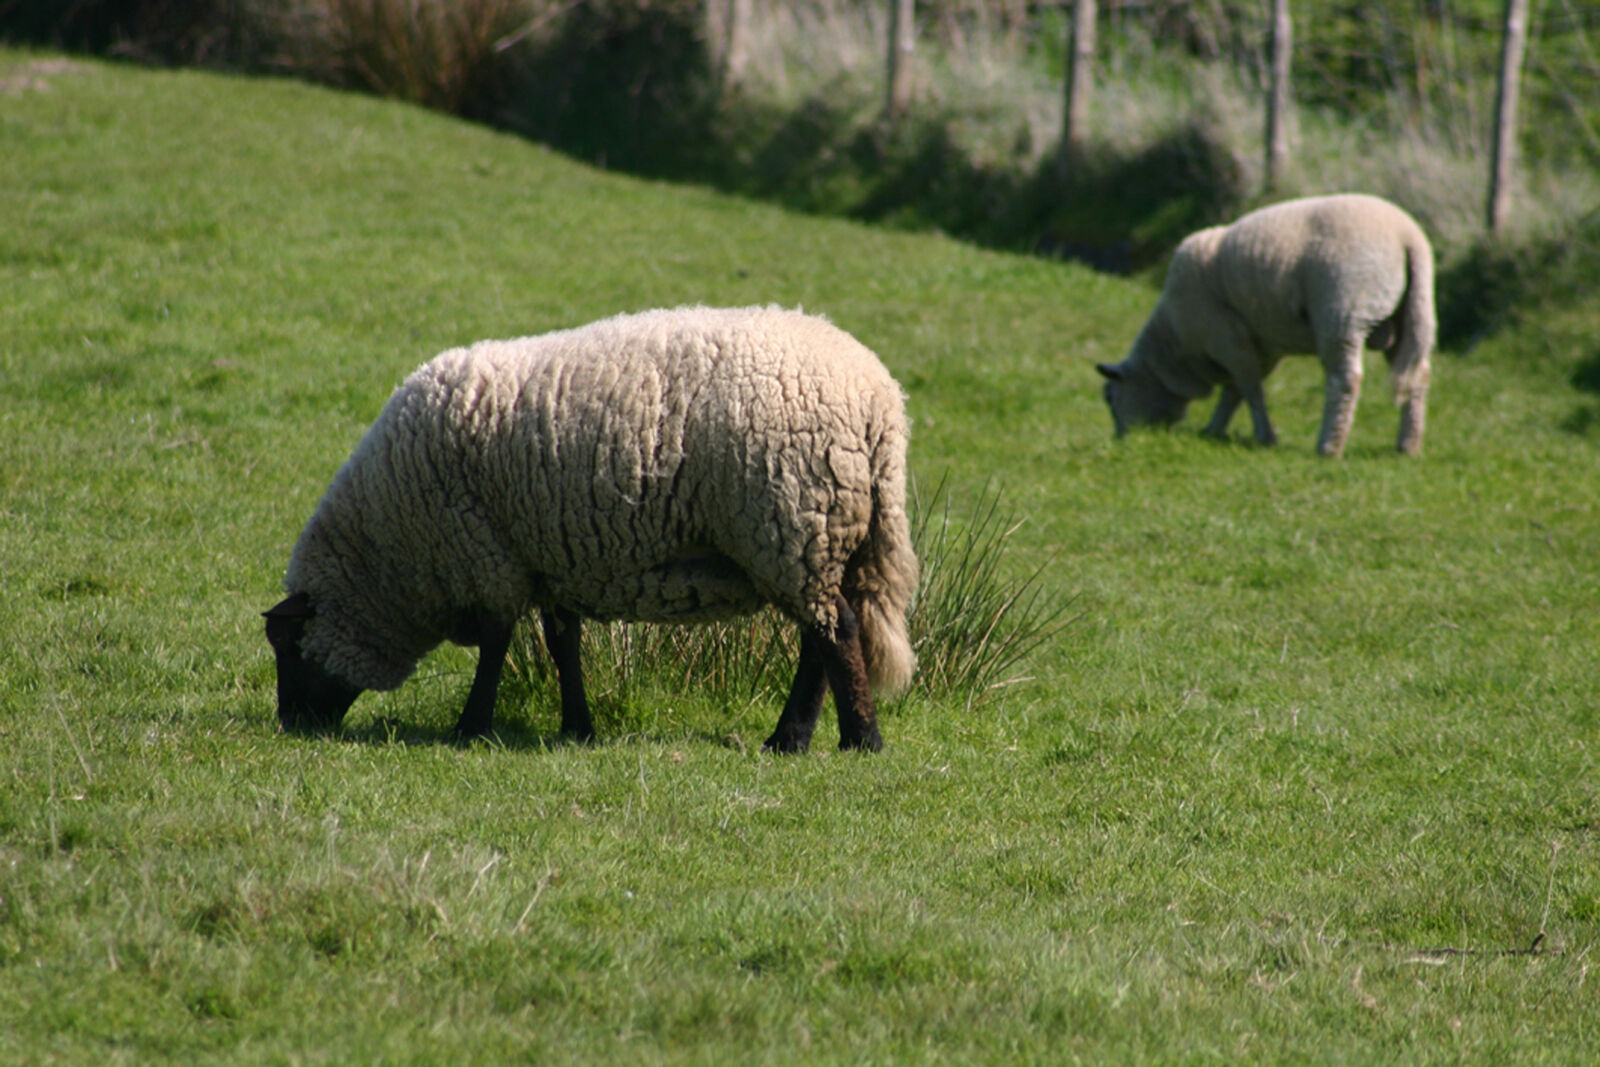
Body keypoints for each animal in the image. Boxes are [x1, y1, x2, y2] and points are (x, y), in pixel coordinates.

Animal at [263, 306, 919, 753]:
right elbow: (562, 645)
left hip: (795, 525)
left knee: (836, 632)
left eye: (286, 646)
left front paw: (471, 727)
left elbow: (497, 646)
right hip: (823, 537)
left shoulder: (486, 555)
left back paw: (855, 739)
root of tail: (881, 401)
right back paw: (794, 739)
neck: (391, 554)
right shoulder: (554, 560)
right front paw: (577, 727)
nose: (289, 725)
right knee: (821, 638)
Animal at [1096, 193, 1436, 457]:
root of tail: (1408, 237)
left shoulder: (1227, 338)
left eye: (1111, 398)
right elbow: (1234, 391)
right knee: (1416, 374)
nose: (1122, 439)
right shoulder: (1264, 346)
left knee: (1346, 379)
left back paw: (1329, 447)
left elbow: (1249, 389)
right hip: (1411, 314)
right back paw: (1408, 445)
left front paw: (1264, 437)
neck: (1175, 346)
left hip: (1344, 311)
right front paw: (1214, 429)